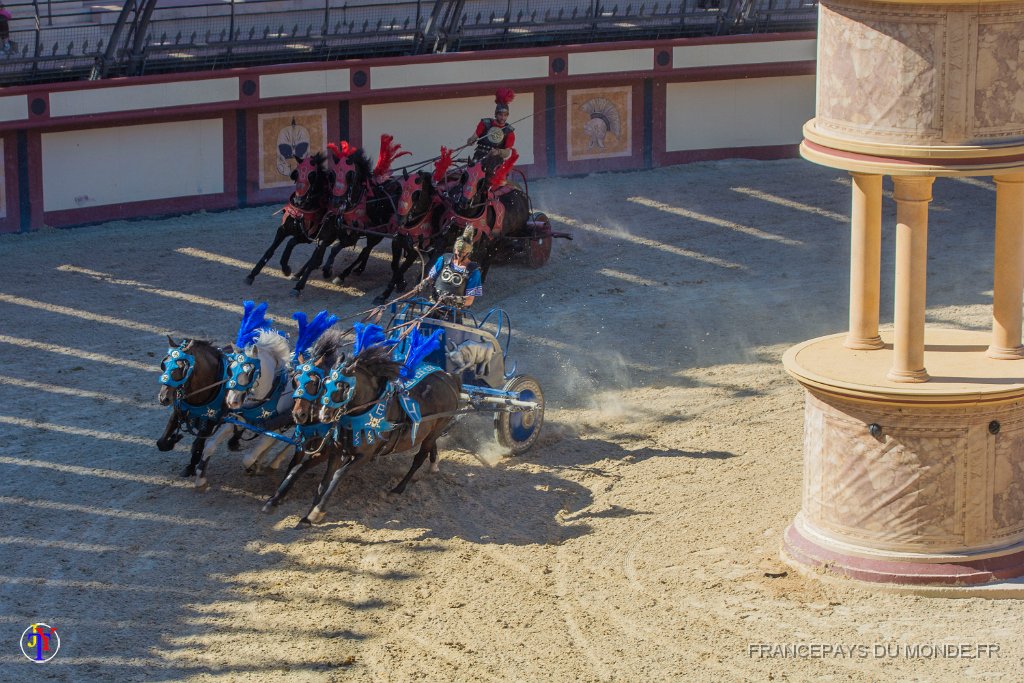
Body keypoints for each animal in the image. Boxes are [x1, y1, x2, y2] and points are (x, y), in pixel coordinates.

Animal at [243, 152, 327, 286]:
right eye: (296, 174)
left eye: (312, 176)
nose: (299, 201)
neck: (300, 212)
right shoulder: (283, 229)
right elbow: (270, 250)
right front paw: (252, 274)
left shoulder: (308, 237)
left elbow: (290, 243)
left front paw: (286, 268)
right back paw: (299, 274)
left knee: (317, 258)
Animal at [264, 339, 460, 528]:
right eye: (294, 381)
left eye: (314, 382)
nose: (299, 414)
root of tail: (449, 378)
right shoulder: (334, 450)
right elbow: (307, 473)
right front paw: (280, 503)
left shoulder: (360, 456)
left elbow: (335, 476)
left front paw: (316, 512)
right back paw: (434, 465)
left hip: (435, 430)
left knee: (419, 458)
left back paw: (398, 488)